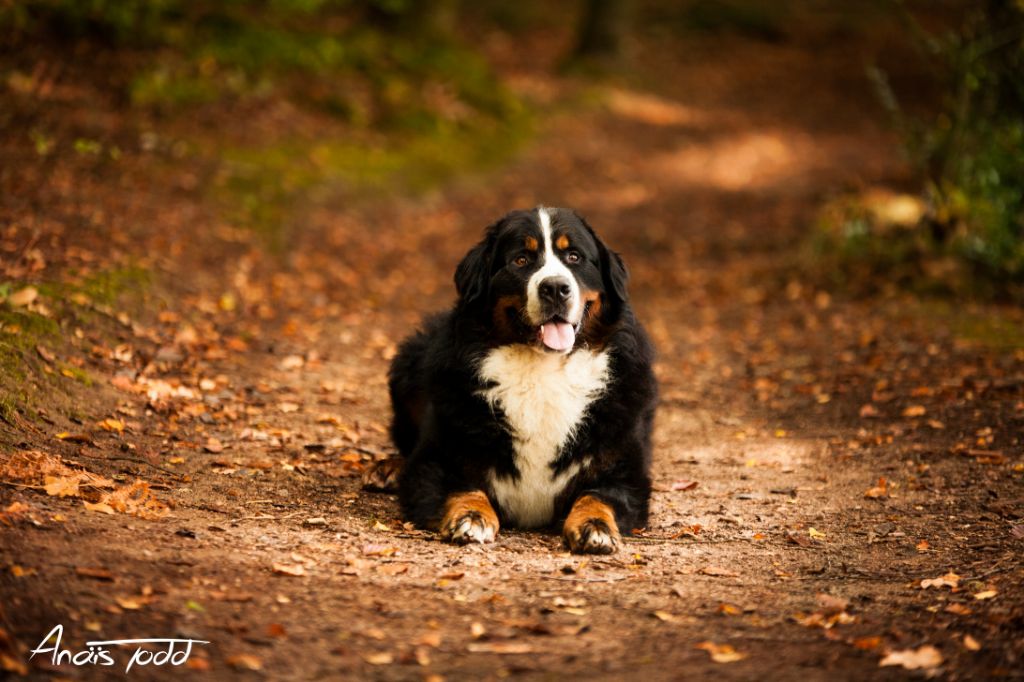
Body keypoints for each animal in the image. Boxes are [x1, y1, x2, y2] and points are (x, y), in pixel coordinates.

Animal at [378, 206, 655, 552]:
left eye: (574, 257)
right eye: (521, 260)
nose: (555, 288)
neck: (543, 370)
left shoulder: (624, 472)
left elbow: (597, 495)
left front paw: (595, 525)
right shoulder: (436, 461)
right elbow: (463, 487)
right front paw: (471, 516)